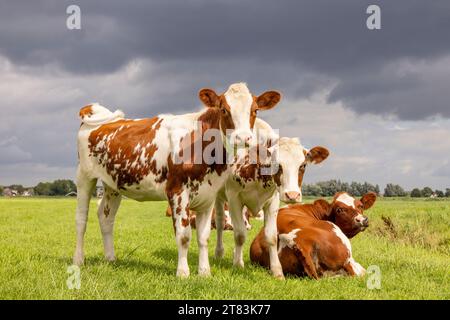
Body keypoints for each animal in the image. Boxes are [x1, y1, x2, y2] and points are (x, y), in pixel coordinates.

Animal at [213, 130, 328, 278]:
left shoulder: (273, 202)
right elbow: (239, 235)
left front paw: (277, 271)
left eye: (303, 165)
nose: (292, 195)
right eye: (277, 165)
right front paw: (238, 266)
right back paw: (219, 253)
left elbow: (271, 236)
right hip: (219, 197)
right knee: (220, 223)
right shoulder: (234, 199)